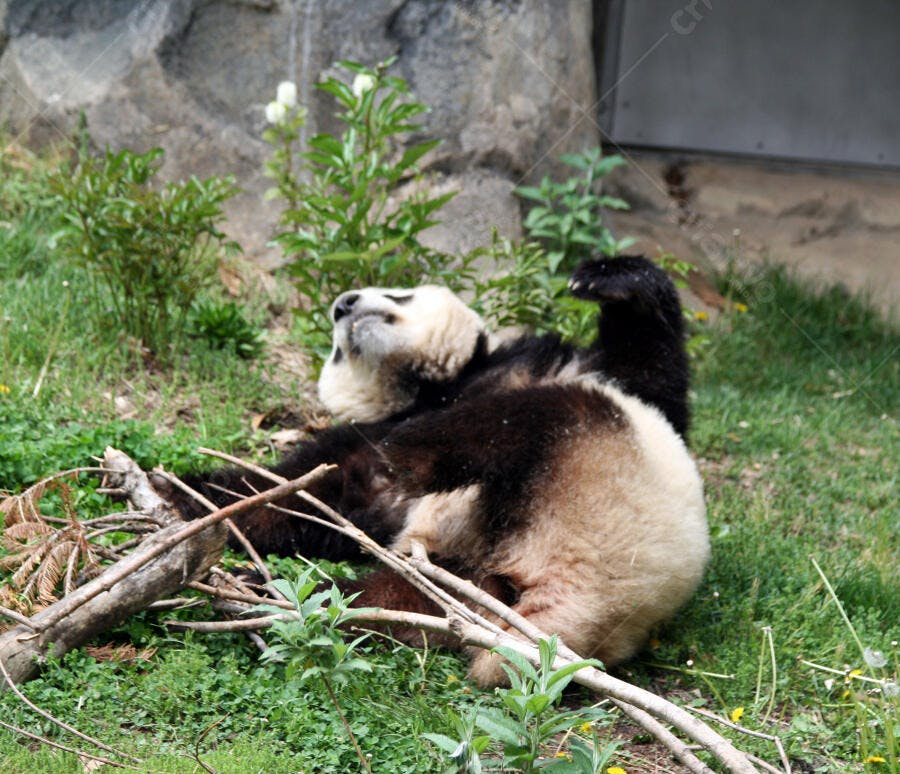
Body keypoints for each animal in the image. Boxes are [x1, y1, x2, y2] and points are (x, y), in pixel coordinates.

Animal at [174, 256, 709, 686]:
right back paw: (267, 592)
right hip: (474, 580)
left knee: (519, 419)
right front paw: (183, 495)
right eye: (337, 351)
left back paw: (410, 455)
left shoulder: (548, 367)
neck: (435, 386)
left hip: (597, 467)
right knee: (391, 597)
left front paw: (604, 279)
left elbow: (651, 378)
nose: (344, 305)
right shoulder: (371, 461)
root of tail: (575, 602)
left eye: (398, 294)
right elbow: (300, 494)